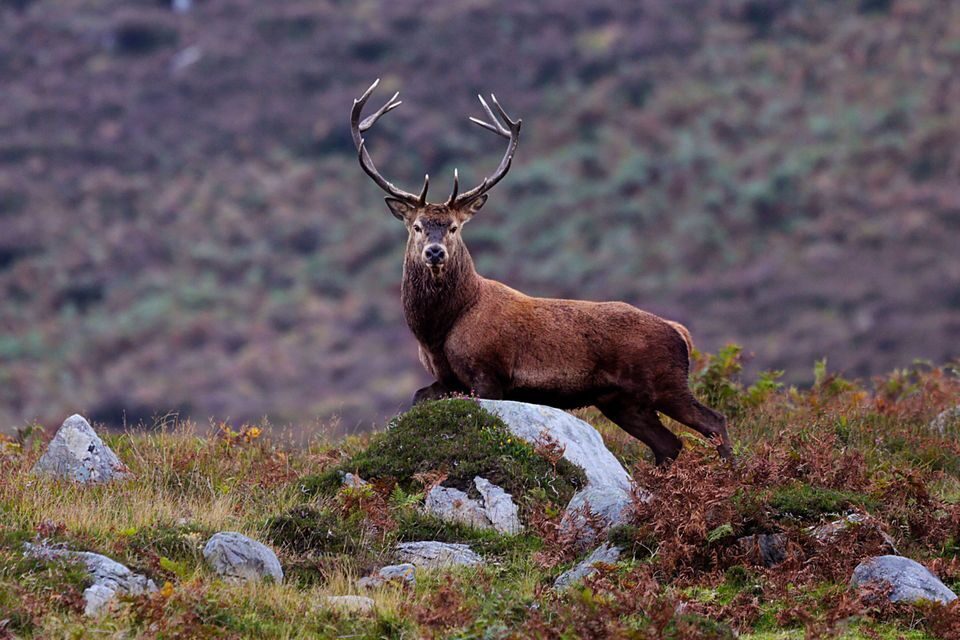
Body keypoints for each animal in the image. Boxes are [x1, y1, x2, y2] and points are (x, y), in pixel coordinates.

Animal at [350, 79, 732, 464]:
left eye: (454, 227)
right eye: (417, 226)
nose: (434, 251)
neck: (439, 329)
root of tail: (680, 333)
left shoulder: (489, 372)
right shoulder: (448, 379)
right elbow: (416, 399)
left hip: (665, 381)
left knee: (714, 420)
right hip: (622, 402)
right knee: (670, 444)